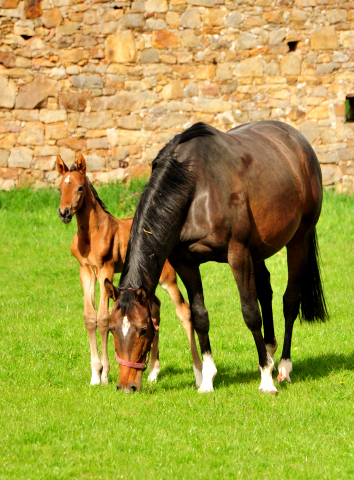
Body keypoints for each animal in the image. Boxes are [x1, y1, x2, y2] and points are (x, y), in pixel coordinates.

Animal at [56, 156, 202, 388]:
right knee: (155, 307)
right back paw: (153, 372)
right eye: (60, 188)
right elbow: (89, 318)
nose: (64, 213)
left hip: (167, 277)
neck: (92, 233)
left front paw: (105, 374)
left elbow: (103, 318)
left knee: (183, 310)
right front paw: (95, 374)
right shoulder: (85, 271)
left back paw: (197, 374)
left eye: (79, 187)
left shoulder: (105, 269)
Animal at [104, 121, 326, 394]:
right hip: (258, 251)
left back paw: (283, 367)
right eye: (112, 329)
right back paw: (271, 353)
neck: (195, 187)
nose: (126, 385)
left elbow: (251, 313)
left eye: (144, 329)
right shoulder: (186, 263)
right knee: (266, 291)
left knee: (290, 301)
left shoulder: (237, 254)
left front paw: (265, 379)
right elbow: (199, 316)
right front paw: (208, 379)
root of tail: (298, 140)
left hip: (298, 241)